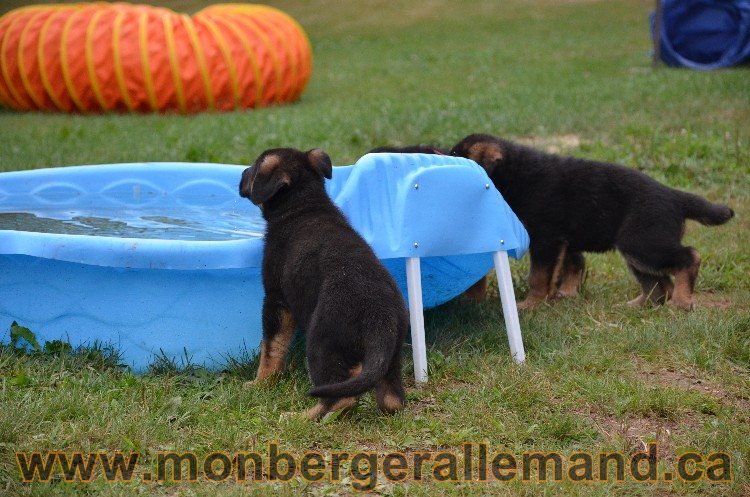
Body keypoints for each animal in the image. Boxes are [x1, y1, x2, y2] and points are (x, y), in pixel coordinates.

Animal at [239, 147, 406, 418]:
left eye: (253, 169)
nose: (241, 175)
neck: (305, 205)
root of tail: (381, 317)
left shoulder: (276, 300)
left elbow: (271, 349)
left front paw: (259, 384)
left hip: (320, 342)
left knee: (340, 397)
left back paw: (299, 417)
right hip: (392, 354)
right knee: (391, 400)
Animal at [450, 132, 736, 310]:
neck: (516, 174)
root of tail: (674, 195)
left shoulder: (546, 238)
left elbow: (539, 277)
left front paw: (531, 305)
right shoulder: (563, 241)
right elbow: (569, 265)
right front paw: (560, 296)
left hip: (642, 242)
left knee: (689, 257)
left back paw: (682, 302)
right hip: (638, 250)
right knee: (659, 285)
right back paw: (635, 307)